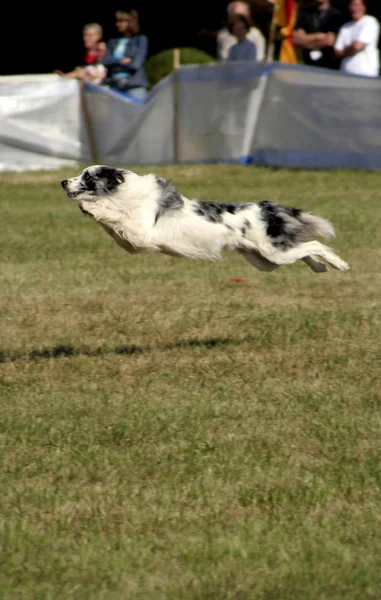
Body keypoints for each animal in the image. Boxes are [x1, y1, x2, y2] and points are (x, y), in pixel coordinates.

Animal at [60, 166, 348, 274]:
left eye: (88, 176)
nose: (63, 182)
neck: (125, 194)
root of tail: (265, 207)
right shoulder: (132, 243)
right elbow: (113, 222)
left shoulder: (143, 234)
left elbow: (110, 213)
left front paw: (88, 206)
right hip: (266, 260)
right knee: (305, 250)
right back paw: (320, 268)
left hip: (272, 253)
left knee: (314, 245)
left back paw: (340, 264)